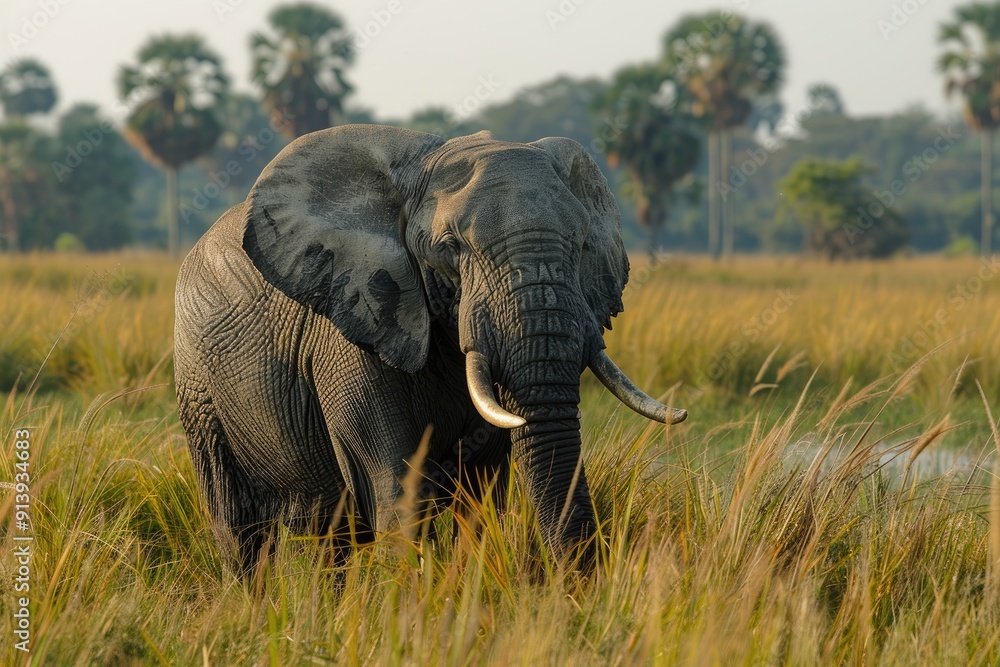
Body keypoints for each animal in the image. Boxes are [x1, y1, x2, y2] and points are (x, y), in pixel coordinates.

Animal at [173, 124, 687, 574]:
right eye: (451, 247)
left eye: (581, 245)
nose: (576, 591)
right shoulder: (352, 332)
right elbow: (395, 489)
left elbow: (482, 496)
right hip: (199, 393)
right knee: (238, 529)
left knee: (331, 541)